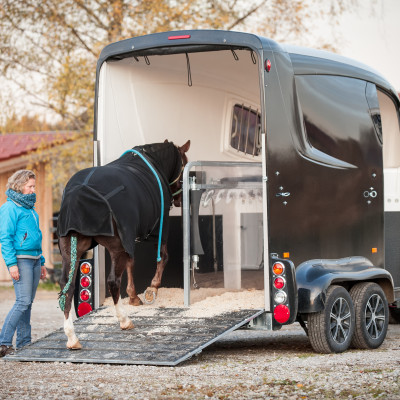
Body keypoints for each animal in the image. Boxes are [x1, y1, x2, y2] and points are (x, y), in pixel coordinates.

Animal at [55, 139, 191, 348]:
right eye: (185, 163)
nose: (179, 199)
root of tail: (80, 195)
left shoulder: (130, 237)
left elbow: (131, 263)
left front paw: (134, 296)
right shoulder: (159, 226)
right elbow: (162, 256)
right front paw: (152, 289)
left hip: (71, 250)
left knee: (66, 286)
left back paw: (72, 337)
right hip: (115, 247)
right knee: (112, 281)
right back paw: (124, 320)